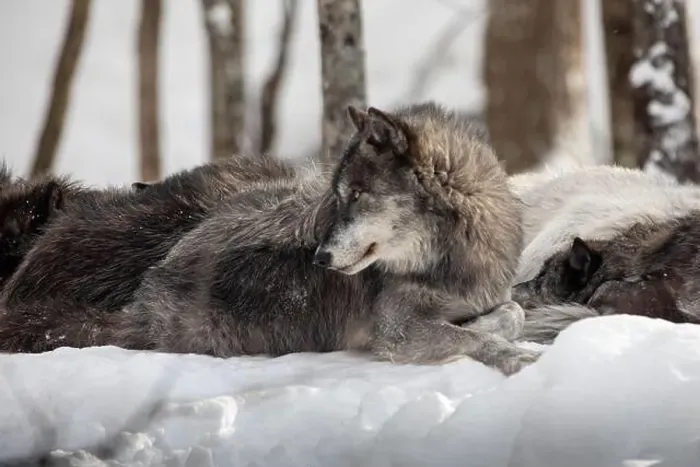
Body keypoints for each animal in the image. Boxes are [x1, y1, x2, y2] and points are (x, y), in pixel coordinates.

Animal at [105, 102, 537, 375]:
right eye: (338, 197)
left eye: (357, 195)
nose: (320, 258)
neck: (450, 257)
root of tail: (154, 275)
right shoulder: (396, 330)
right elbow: (476, 339)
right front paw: (514, 357)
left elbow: (513, 312)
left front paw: (487, 325)